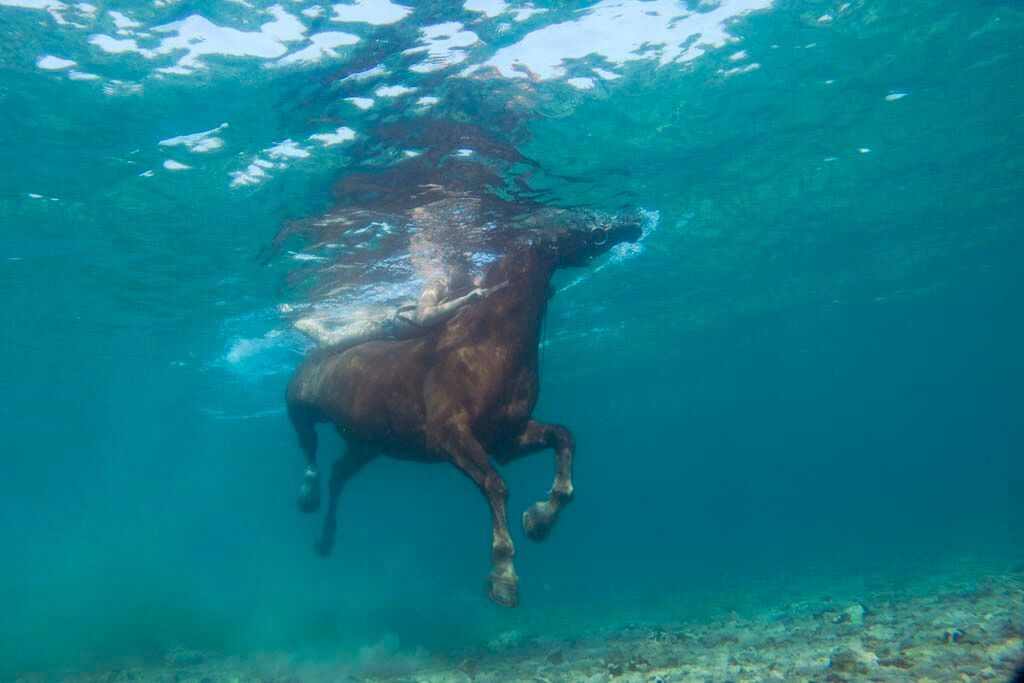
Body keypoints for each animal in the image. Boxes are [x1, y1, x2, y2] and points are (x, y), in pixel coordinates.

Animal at [285, 218, 643, 607]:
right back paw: (307, 493)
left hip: (368, 444)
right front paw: (503, 577)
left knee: (338, 473)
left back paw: (324, 540)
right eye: (567, 232)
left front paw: (539, 520)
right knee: (310, 448)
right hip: (302, 409)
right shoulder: (451, 438)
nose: (632, 225)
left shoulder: (507, 438)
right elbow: (495, 485)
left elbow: (563, 438)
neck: (485, 344)